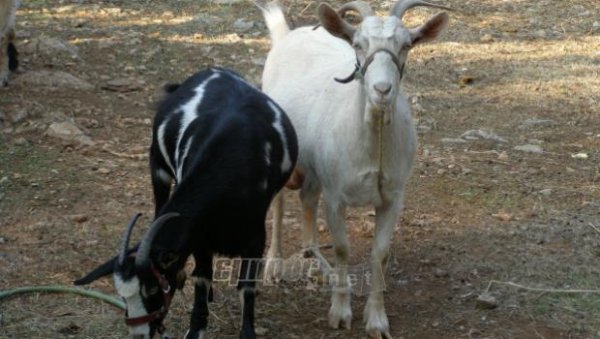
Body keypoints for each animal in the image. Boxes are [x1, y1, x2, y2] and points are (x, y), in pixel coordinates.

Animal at [75, 67, 298, 339]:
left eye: (152, 289)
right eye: (122, 296)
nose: (139, 334)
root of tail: (212, 70)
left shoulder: (255, 236)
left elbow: (246, 287)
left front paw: (247, 333)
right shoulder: (200, 237)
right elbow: (202, 278)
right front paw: (196, 328)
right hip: (158, 168)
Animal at [260, 1, 448, 338]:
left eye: (406, 45)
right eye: (358, 44)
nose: (382, 89)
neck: (373, 150)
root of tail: (286, 35)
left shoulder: (393, 198)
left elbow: (379, 253)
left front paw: (376, 320)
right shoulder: (336, 197)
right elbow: (343, 248)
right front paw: (340, 312)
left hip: (315, 167)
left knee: (307, 199)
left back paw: (318, 263)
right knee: (280, 203)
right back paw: (274, 266)